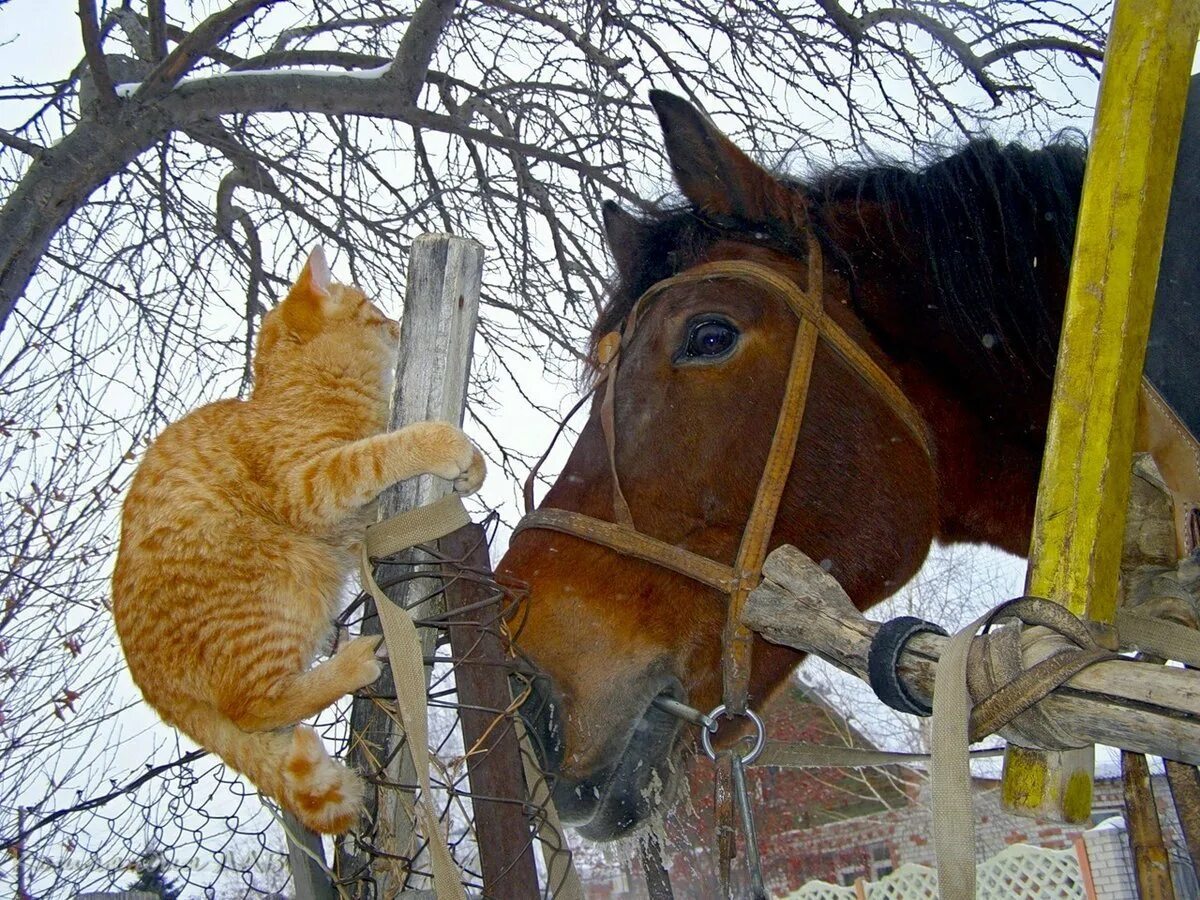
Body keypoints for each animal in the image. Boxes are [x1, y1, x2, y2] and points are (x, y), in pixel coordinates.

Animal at [112, 244, 484, 830]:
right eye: (371, 309)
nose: (396, 324)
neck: (306, 387)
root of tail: (152, 686)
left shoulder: (356, 514)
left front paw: (474, 467)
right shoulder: (311, 484)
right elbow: (380, 450)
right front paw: (441, 444)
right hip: (286, 579)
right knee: (256, 707)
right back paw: (350, 665)